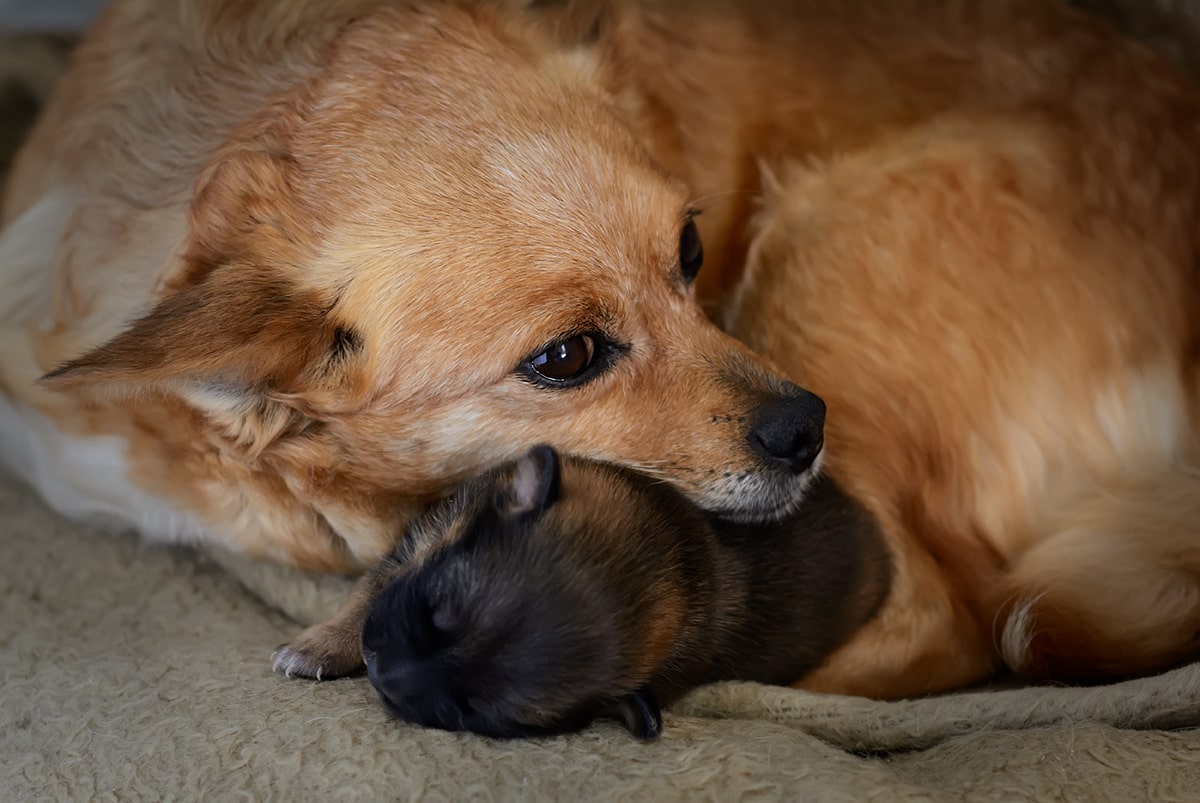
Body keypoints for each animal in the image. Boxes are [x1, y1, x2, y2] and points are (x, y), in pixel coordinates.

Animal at [276, 444, 888, 739]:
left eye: (478, 710)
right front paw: (320, 644)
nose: (383, 676)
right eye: (434, 609)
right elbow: (366, 593)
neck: (677, 561)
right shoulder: (421, 541)